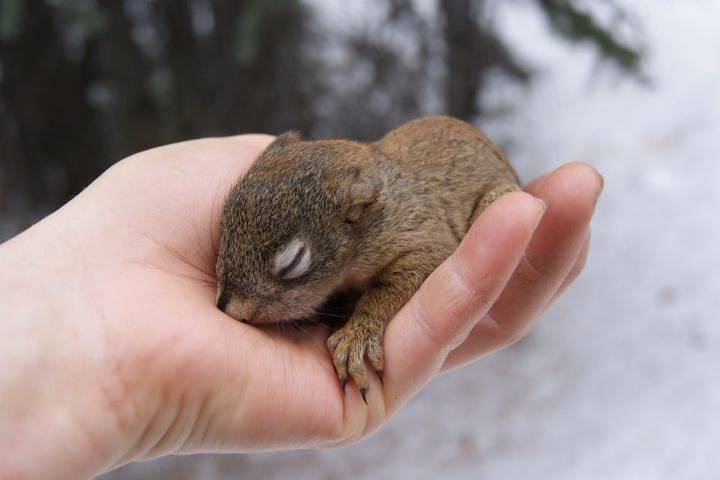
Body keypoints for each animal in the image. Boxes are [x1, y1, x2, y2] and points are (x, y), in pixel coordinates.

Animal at [215, 115, 520, 403]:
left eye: (293, 261)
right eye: (224, 222)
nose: (227, 309)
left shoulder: (423, 235)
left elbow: (391, 284)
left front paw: (357, 336)